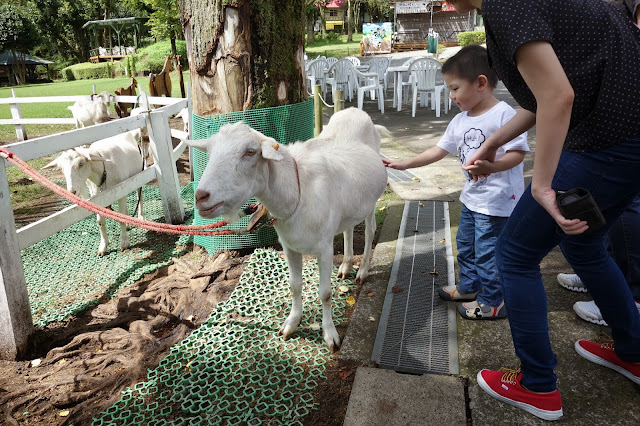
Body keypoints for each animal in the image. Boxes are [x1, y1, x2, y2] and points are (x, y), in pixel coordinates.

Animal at [188, 108, 388, 352]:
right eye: (209, 151)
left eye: (250, 152)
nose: (201, 196)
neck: (297, 189)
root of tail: (355, 112)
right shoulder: (289, 246)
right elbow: (294, 286)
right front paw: (291, 324)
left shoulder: (324, 248)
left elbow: (325, 293)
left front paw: (330, 335)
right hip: (350, 206)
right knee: (348, 229)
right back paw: (346, 266)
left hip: (371, 202)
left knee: (370, 232)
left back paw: (362, 271)